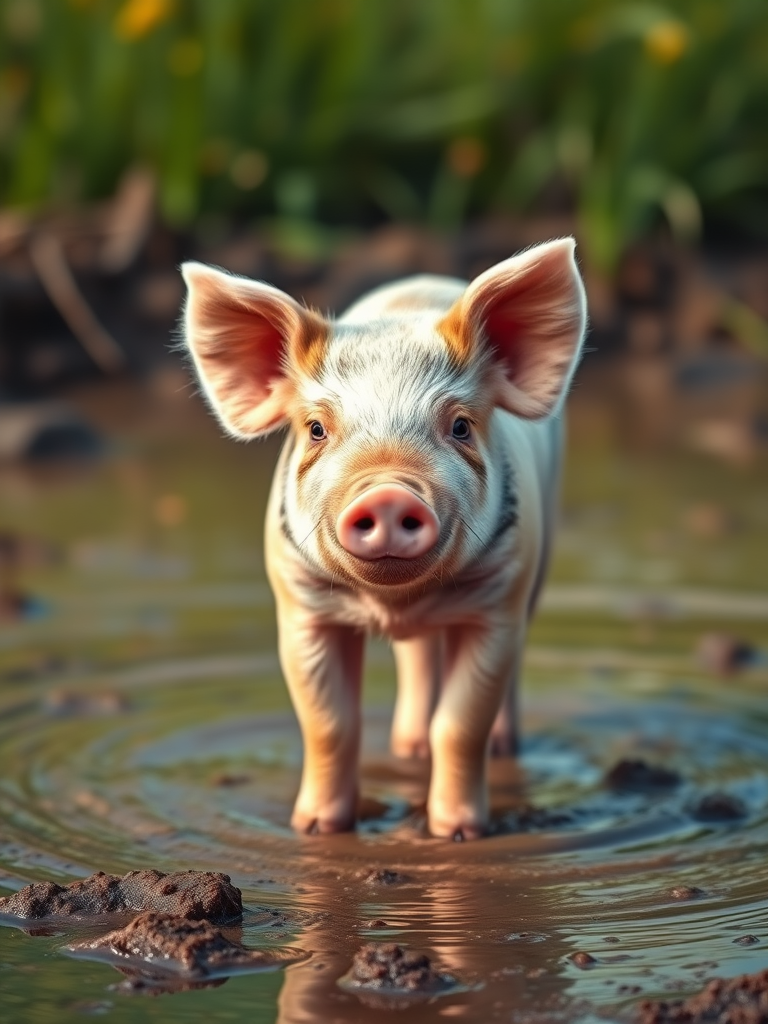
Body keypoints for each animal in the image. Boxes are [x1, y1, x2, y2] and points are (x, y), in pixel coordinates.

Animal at [181, 238, 587, 840]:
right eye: (316, 429)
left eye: (461, 426)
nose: (390, 493)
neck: (395, 603)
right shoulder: (300, 607)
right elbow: (330, 722)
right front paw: (316, 828)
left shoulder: (498, 599)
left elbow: (460, 723)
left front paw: (457, 834)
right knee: (416, 660)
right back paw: (408, 747)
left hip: (540, 560)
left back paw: (499, 747)